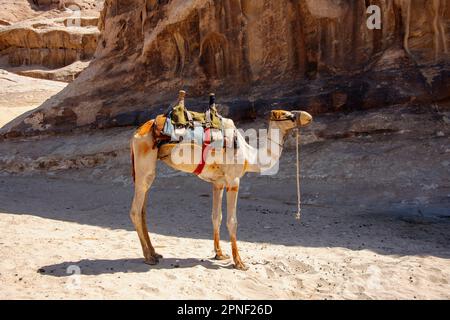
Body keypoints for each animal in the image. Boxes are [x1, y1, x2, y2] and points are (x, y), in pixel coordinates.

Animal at [129, 94, 312, 272]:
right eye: (289, 115)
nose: (308, 116)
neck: (250, 156)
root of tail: (138, 132)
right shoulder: (233, 180)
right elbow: (232, 221)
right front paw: (239, 263)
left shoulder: (218, 183)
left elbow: (216, 216)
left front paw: (220, 254)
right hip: (145, 162)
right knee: (136, 211)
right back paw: (149, 257)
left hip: (146, 170)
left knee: (143, 210)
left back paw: (154, 252)